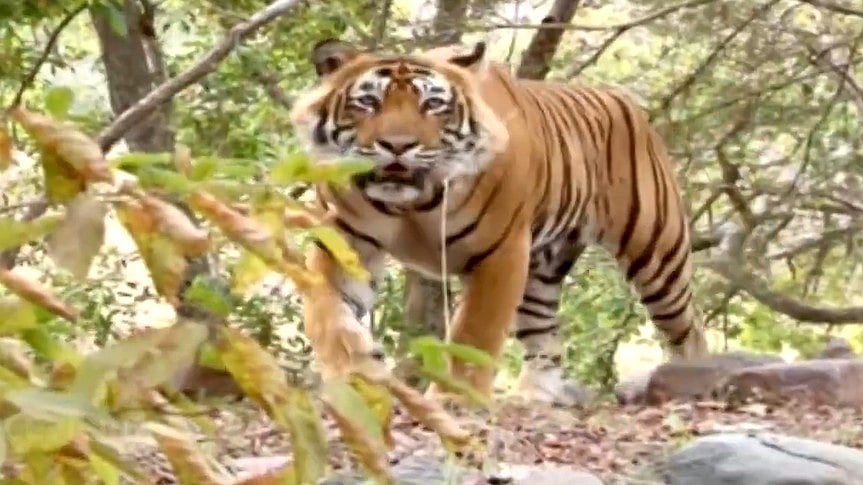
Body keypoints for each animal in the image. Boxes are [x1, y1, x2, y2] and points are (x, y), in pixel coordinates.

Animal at [288, 38, 710, 406]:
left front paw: (455, 397)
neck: (415, 202)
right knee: (545, 338)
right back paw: (534, 398)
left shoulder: (499, 252)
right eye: (368, 102)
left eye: (433, 104)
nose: (397, 145)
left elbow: (474, 333)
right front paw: (355, 379)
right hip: (541, 271)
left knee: (688, 329)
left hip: (658, 255)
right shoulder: (345, 243)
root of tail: (623, 99)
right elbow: (330, 318)